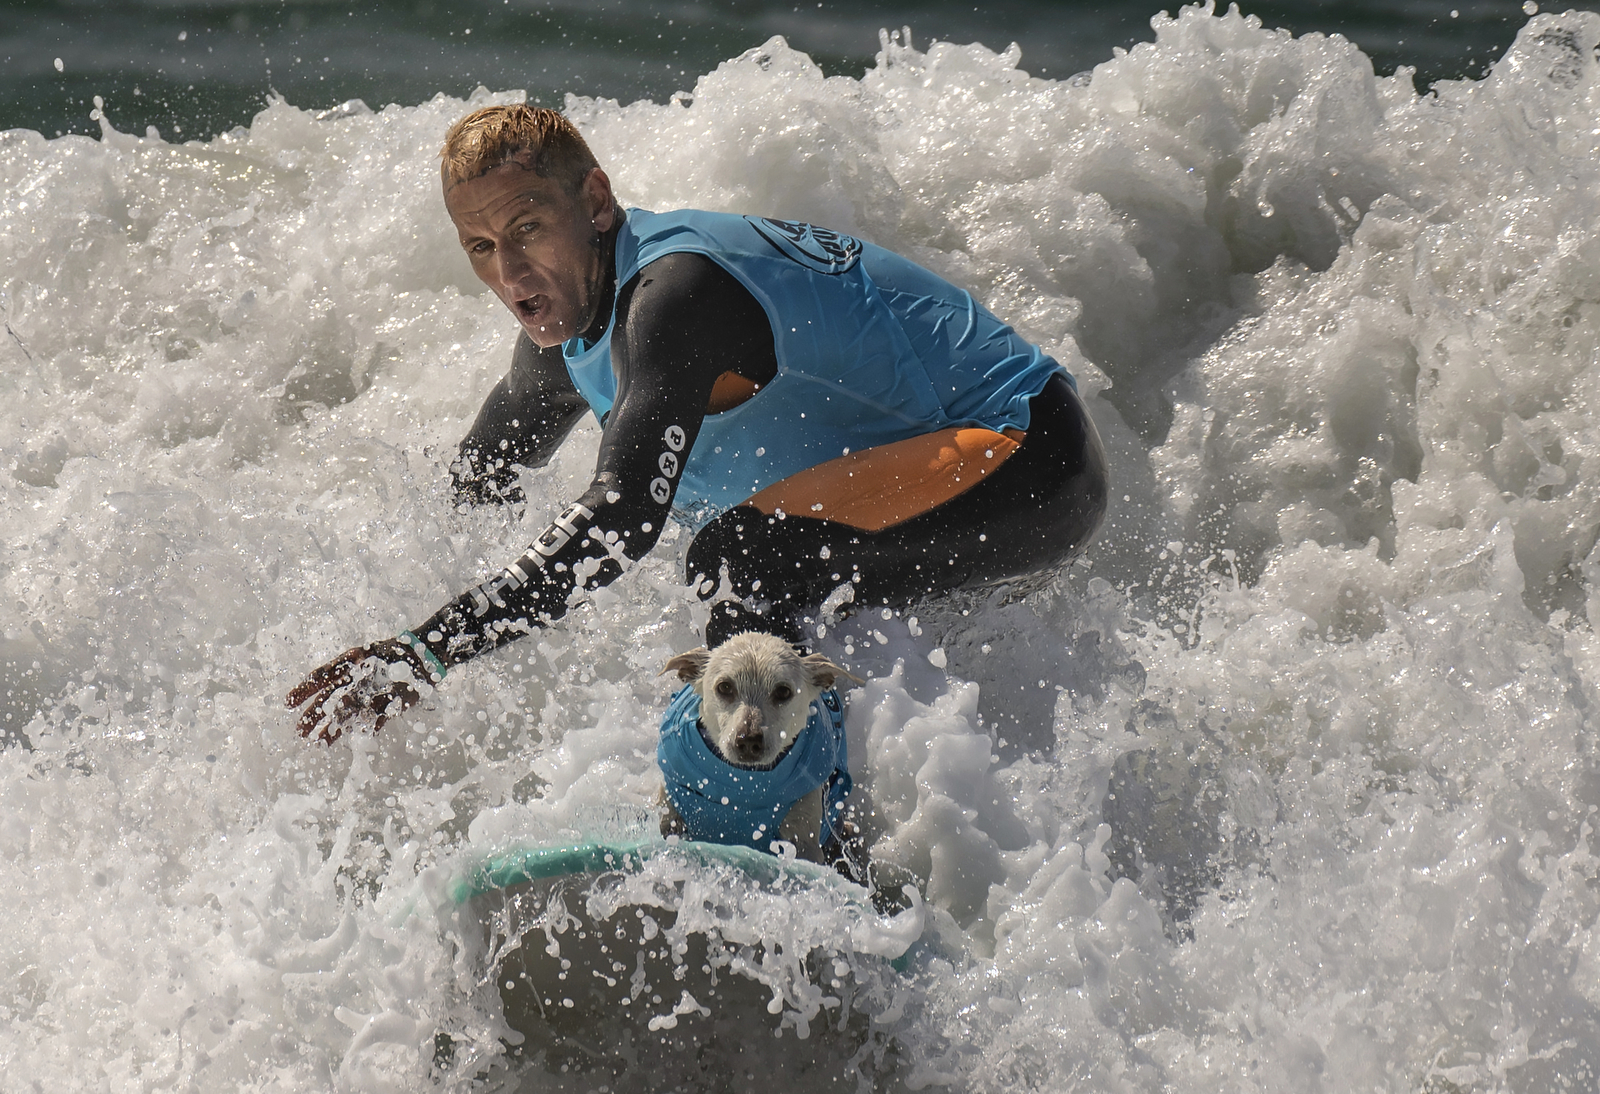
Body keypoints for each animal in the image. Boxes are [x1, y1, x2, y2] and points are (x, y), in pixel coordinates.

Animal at [656, 633, 857, 863]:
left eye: (783, 691)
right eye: (724, 687)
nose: (749, 740)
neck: (742, 785)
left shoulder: (804, 836)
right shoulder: (670, 809)